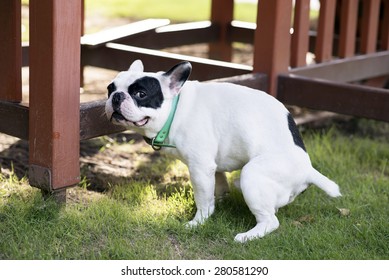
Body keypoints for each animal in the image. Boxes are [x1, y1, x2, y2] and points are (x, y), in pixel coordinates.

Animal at [105, 60, 340, 242]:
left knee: (271, 220)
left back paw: (248, 236)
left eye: (140, 94)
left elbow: (202, 198)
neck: (176, 110)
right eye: (110, 88)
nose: (116, 96)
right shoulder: (212, 166)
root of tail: (308, 169)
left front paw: (199, 221)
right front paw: (217, 203)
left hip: (252, 175)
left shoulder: (200, 168)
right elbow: (216, 186)